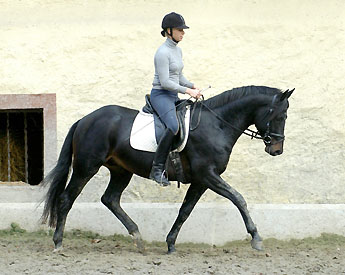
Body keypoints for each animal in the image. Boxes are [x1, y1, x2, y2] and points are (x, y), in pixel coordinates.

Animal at [40, 85, 292, 253]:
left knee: (110, 199)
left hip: (121, 171)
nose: (277, 149)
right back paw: (58, 242)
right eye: (280, 115)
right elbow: (238, 198)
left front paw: (170, 243)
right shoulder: (207, 175)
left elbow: (185, 210)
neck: (217, 124)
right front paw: (256, 238)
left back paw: (138, 237)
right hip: (86, 167)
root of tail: (84, 120)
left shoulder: (201, 181)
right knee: (66, 199)